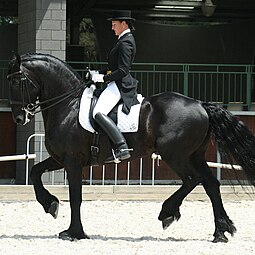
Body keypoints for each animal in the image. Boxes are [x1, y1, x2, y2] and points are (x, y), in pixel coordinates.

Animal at [6, 52, 254, 243]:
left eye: (17, 81)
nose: (19, 118)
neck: (68, 105)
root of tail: (201, 105)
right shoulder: (60, 158)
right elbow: (35, 171)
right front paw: (50, 204)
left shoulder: (73, 161)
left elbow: (75, 196)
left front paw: (74, 232)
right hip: (194, 155)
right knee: (211, 184)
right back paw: (221, 232)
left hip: (175, 155)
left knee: (193, 180)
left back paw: (167, 213)